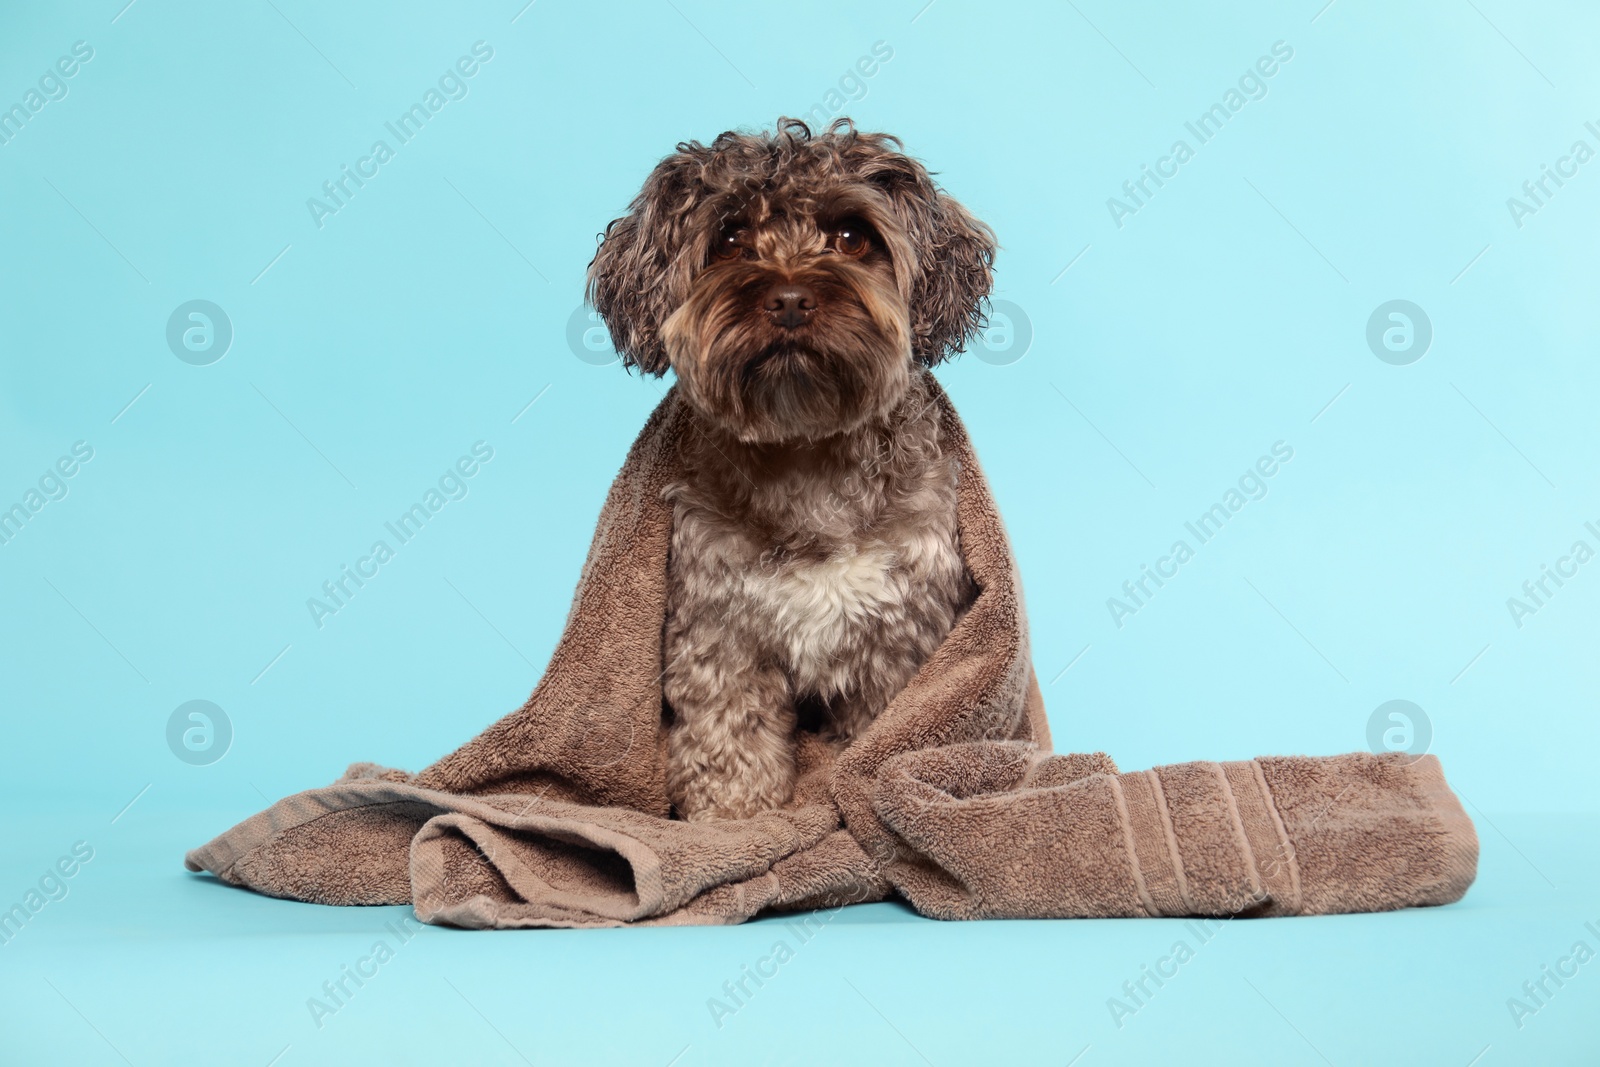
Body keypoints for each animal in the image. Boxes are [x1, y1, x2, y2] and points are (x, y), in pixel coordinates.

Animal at [582, 116, 992, 825]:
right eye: (729, 237)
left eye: (853, 237)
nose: (792, 299)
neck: (805, 449)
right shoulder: (720, 635)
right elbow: (729, 742)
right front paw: (734, 823)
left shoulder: (901, 639)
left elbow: (891, 737)